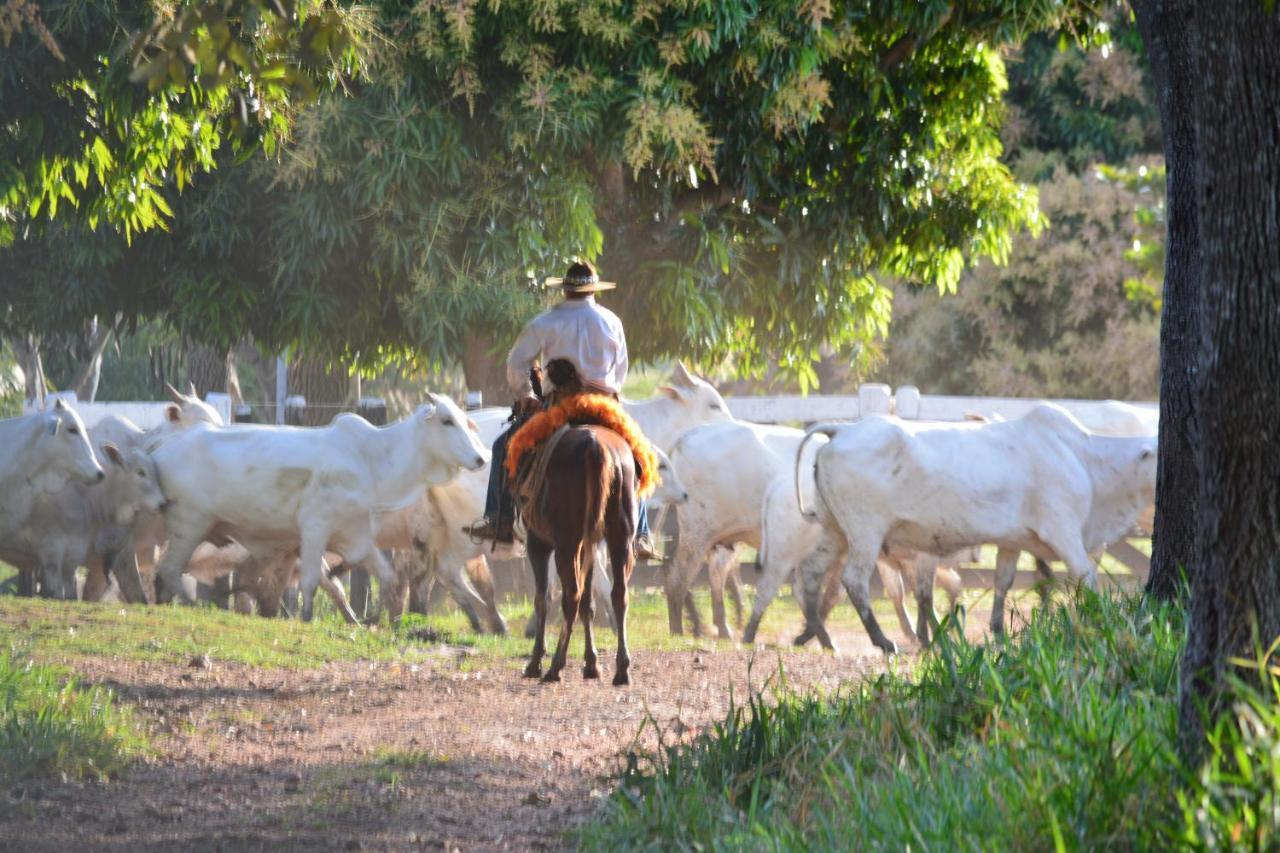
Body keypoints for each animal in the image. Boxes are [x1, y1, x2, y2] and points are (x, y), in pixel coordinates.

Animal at [149, 391, 486, 617]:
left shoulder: (357, 537)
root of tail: (161, 451)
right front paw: (307, 619)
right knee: (169, 571)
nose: (481, 459)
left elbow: (386, 579)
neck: (372, 459)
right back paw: (191, 606)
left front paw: (382, 621)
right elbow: (311, 582)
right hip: (189, 525)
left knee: (164, 575)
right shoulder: (314, 529)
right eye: (446, 421)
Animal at [519, 425, 640, 686]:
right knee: (619, 595)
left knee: (571, 595)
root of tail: (594, 446)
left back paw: (555, 666)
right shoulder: (589, 547)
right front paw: (591, 664)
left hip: (567, 544)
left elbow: (542, 598)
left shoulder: (538, 543)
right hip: (619, 539)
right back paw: (622, 669)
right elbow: (589, 604)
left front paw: (535, 661)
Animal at [793, 404, 1157, 650]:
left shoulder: (1014, 542)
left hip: (835, 531)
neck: (1084, 457)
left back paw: (818, 635)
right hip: (865, 533)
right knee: (853, 581)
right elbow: (1088, 579)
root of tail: (842, 430)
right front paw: (1103, 619)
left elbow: (1002, 583)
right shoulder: (1065, 532)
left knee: (810, 574)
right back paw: (882, 641)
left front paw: (998, 631)